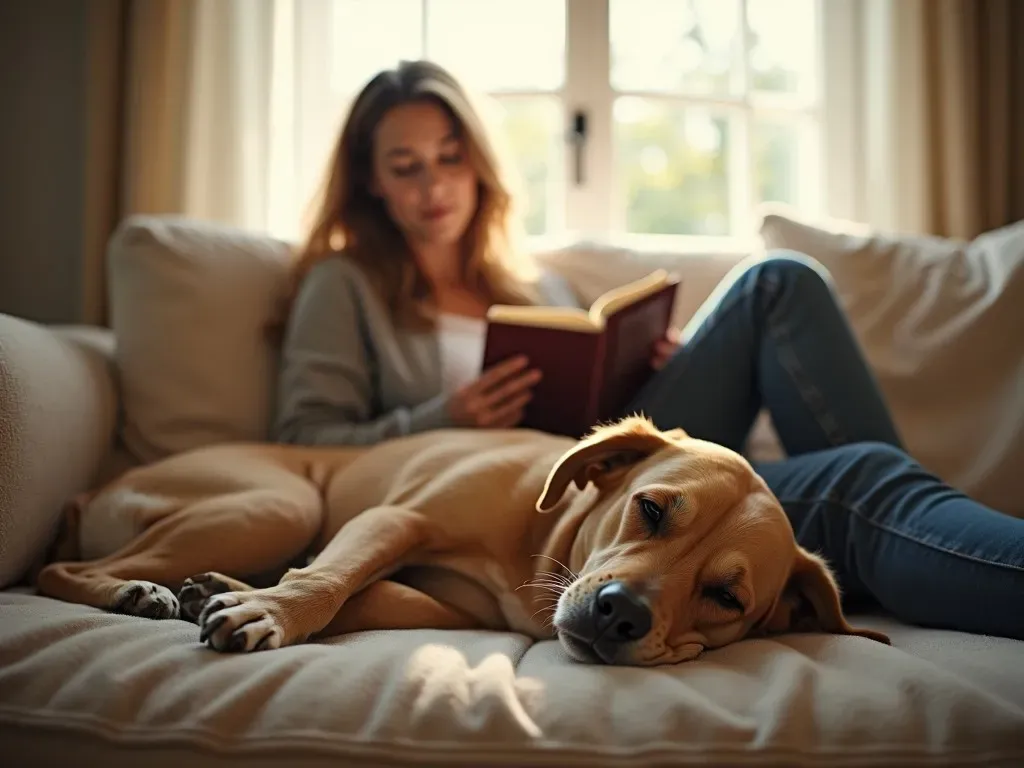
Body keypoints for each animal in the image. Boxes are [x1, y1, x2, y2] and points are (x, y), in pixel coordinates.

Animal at [36, 415, 888, 667]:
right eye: (650, 511)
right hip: (279, 501)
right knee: (57, 568)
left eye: (725, 597)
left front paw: (237, 595)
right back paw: (132, 590)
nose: (619, 613)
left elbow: (364, 596)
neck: (541, 542)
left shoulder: (444, 607)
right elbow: (329, 579)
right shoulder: (394, 521)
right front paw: (268, 610)